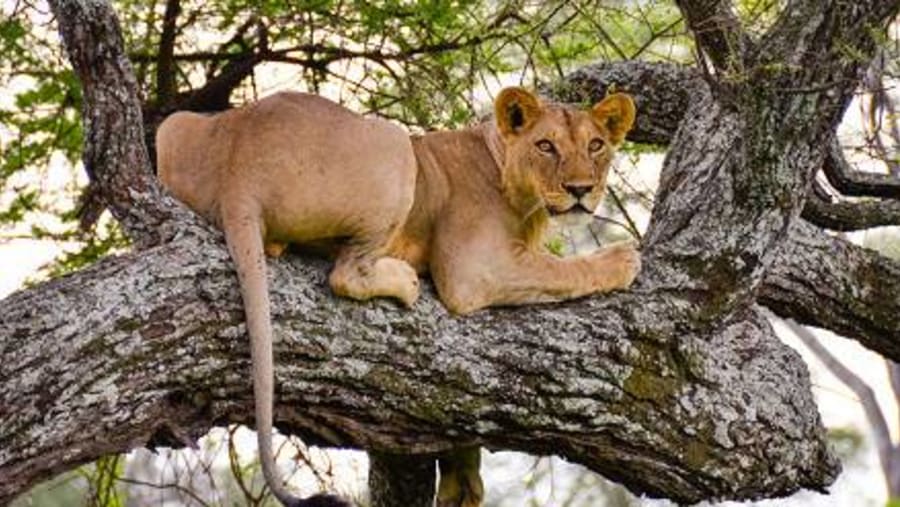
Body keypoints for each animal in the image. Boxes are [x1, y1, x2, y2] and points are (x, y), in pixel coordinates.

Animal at [155, 87, 638, 507]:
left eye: (596, 145)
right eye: (546, 146)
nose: (581, 189)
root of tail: (239, 170)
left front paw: (462, 479)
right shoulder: (474, 270)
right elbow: (560, 268)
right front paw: (623, 260)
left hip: (173, 127)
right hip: (395, 145)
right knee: (346, 272)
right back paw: (405, 280)